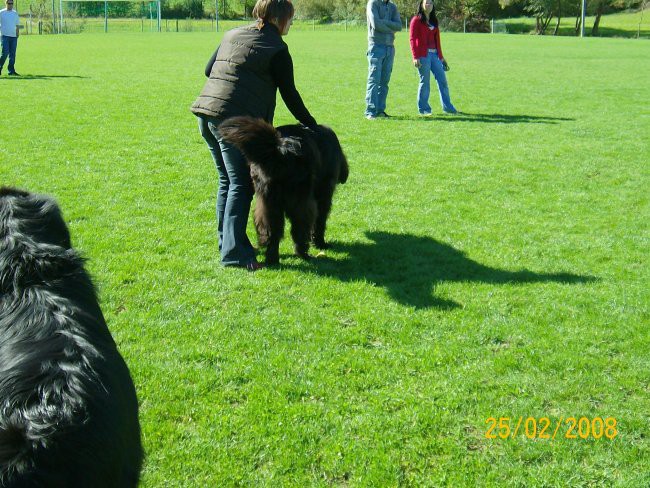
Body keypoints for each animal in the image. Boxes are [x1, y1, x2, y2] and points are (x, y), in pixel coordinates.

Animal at [219, 116, 350, 264]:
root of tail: (279, 149)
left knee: (271, 230)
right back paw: (303, 254)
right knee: (299, 228)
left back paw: (272, 259)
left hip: (268, 202)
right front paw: (320, 243)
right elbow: (320, 222)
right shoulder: (324, 195)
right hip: (300, 201)